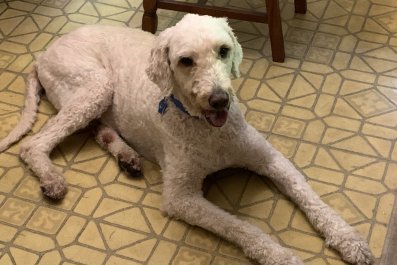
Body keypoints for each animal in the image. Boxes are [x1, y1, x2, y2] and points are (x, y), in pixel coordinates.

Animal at [0, 13, 372, 264]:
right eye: (185, 60)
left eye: (224, 50)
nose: (220, 99)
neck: (210, 132)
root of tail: (42, 55)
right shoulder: (181, 198)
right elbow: (240, 227)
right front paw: (279, 255)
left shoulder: (270, 159)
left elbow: (310, 197)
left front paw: (348, 239)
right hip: (94, 87)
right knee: (34, 144)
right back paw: (52, 178)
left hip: (96, 99)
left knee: (99, 130)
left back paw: (127, 157)